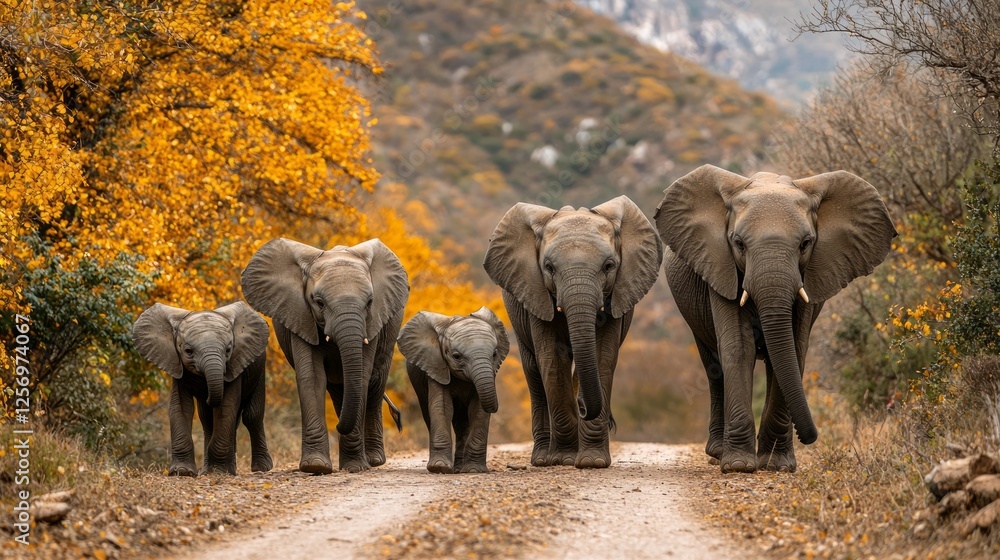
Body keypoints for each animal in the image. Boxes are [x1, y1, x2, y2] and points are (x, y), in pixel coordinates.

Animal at [132, 302, 272, 476]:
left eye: (228, 350)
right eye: (188, 351)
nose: (206, 395)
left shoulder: (234, 364)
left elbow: (226, 407)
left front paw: (218, 471)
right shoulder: (177, 367)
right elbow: (180, 407)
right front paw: (182, 471)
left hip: (259, 369)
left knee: (252, 415)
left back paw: (260, 468)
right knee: (207, 420)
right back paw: (213, 470)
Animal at [241, 238, 409, 474]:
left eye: (369, 302)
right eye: (318, 302)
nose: (337, 427)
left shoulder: (373, 321)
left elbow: (362, 377)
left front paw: (355, 467)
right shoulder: (300, 316)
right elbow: (312, 377)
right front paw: (315, 466)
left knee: (374, 387)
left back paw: (374, 460)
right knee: (341, 391)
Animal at [397, 307, 510, 474]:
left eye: (495, 354)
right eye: (456, 356)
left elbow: (478, 411)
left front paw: (474, 470)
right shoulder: (436, 367)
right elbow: (442, 407)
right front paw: (439, 467)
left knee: (462, 423)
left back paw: (459, 469)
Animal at [484, 196, 662, 469]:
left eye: (609, 266)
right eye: (548, 267)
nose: (582, 407)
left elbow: (602, 357)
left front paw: (592, 462)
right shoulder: (536, 293)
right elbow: (551, 361)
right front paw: (564, 460)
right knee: (534, 372)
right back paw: (542, 459)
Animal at [655, 165, 896, 473]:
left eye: (806, 244)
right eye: (738, 243)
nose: (809, 437)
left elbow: (794, 347)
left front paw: (777, 465)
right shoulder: (720, 265)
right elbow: (739, 347)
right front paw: (738, 466)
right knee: (714, 367)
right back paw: (718, 453)